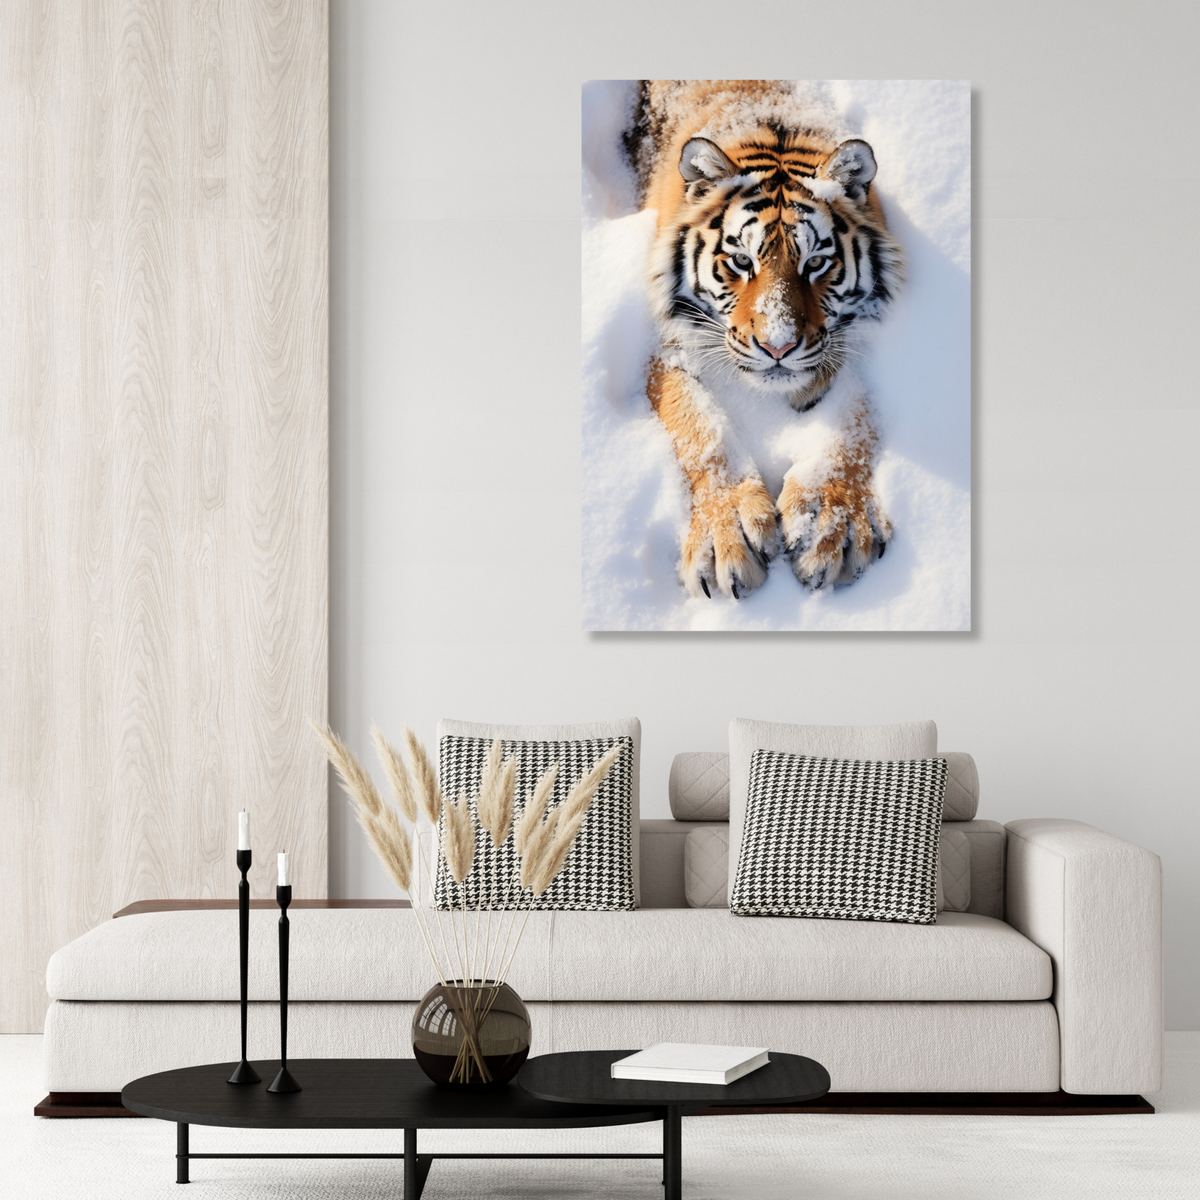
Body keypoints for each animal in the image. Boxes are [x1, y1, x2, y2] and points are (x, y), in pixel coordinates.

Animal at [625, 80, 904, 598]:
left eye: (816, 263)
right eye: (741, 261)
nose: (779, 348)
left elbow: (854, 419)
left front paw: (832, 524)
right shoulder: (662, 340)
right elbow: (700, 425)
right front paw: (727, 536)